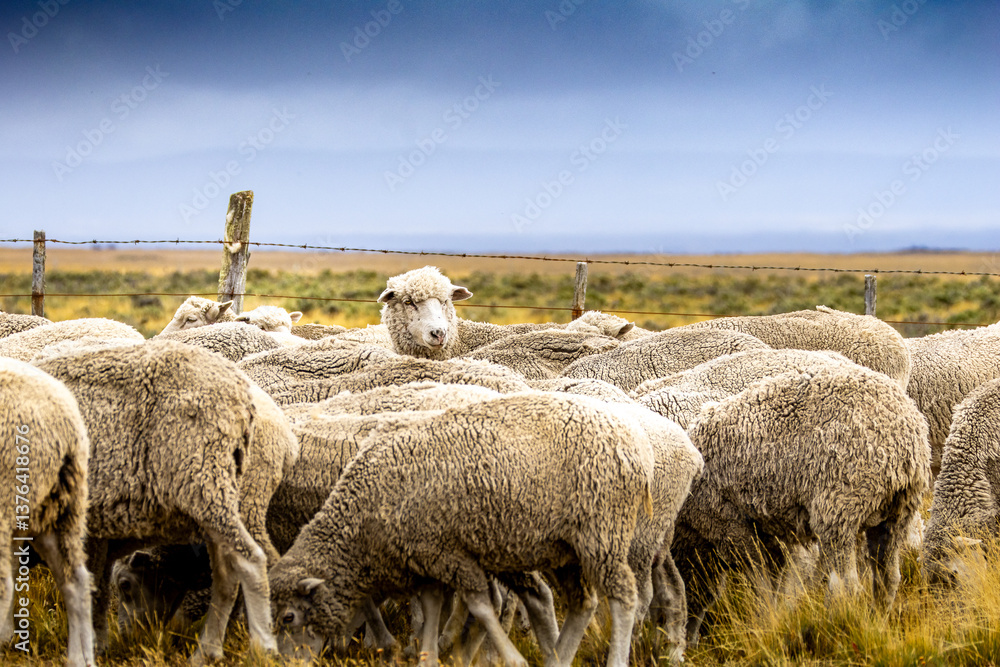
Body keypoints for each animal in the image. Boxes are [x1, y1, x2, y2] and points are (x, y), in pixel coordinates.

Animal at [33, 340, 277, 665]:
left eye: (127, 586)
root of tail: (242, 394)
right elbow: (96, 587)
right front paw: (98, 644)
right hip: (211, 495)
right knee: (226, 573)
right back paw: (207, 651)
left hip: (203, 480)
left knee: (250, 560)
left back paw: (263, 647)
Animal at [269, 392, 655, 667]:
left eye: (289, 617)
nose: (284, 662)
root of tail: (633, 441)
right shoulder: (425, 558)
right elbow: (433, 606)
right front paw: (427, 657)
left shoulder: (449, 553)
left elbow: (480, 605)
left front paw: (511, 658)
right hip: (564, 548)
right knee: (582, 603)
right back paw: (557, 659)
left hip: (602, 532)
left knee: (624, 596)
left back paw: (615, 659)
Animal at [672, 366, 930, 644]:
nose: (689, 643)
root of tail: (903, 437)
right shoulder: (766, 533)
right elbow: (775, 579)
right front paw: (776, 617)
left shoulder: (729, 525)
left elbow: (760, 582)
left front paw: (765, 623)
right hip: (897, 513)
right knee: (887, 578)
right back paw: (877, 623)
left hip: (840, 506)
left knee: (846, 586)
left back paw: (837, 629)